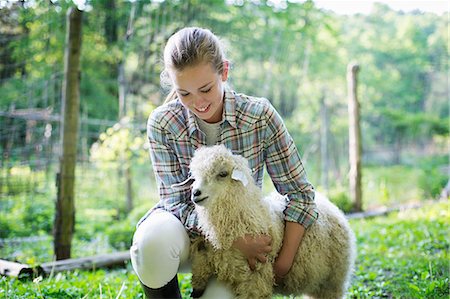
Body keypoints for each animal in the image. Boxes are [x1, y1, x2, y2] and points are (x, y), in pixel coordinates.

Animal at [186, 144, 356, 298]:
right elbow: (201, 263)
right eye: (195, 177)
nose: (196, 193)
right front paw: (197, 286)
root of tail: (330, 205)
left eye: (223, 174)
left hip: (332, 281)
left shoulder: (255, 281)